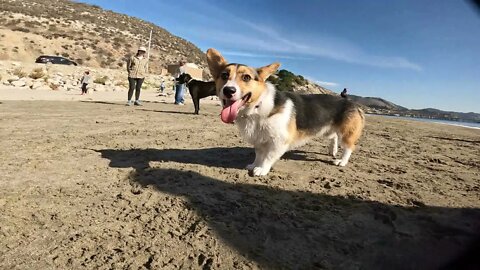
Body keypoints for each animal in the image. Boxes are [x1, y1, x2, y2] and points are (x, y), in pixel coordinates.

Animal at [205, 48, 364, 176]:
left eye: (246, 77)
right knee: (334, 137)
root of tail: (353, 102)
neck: (257, 107)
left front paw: (262, 169)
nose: (228, 90)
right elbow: (259, 155)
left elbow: (268, 157)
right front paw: (254, 165)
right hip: (327, 129)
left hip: (347, 133)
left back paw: (341, 161)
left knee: (349, 147)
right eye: (224, 75)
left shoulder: (279, 141)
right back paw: (332, 151)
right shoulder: (259, 140)